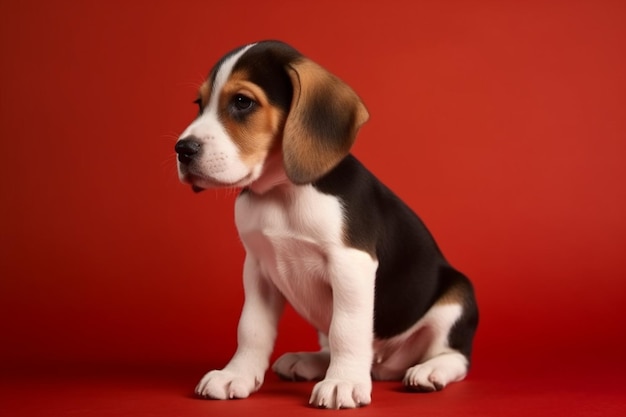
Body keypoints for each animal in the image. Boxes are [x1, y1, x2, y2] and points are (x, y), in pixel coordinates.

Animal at [173, 40, 476, 408]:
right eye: (199, 104)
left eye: (243, 102)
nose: (182, 149)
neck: (281, 192)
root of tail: (383, 364)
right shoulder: (257, 268)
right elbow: (251, 329)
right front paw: (237, 375)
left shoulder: (351, 264)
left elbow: (346, 329)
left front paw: (342, 382)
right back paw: (310, 361)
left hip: (457, 297)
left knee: (454, 355)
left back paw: (430, 371)